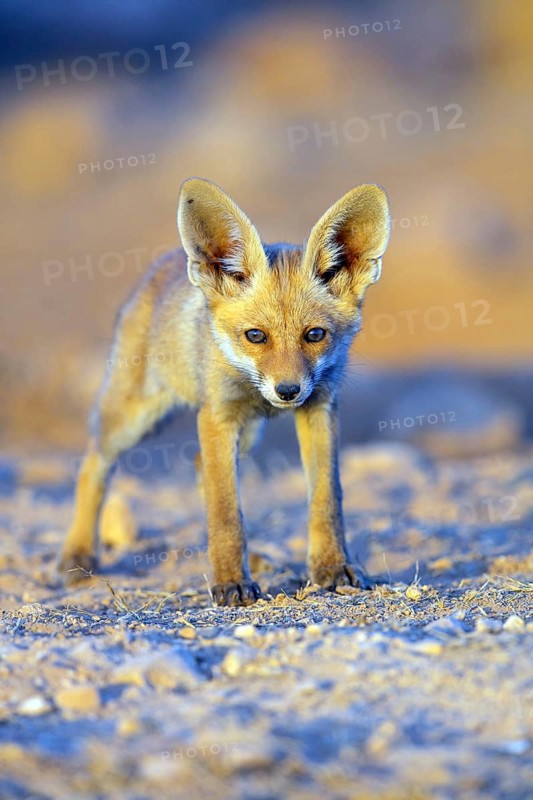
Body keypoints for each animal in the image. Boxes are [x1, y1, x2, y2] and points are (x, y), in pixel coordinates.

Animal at [59, 178, 391, 606]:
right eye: (256, 336)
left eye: (315, 335)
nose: (287, 391)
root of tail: (163, 263)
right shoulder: (218, 414)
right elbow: (225, 512)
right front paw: (231, 581)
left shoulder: (318, 406)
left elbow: (326, 499)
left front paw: (332, 568)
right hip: (131, 420)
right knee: (93, 465)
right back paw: (78, 554)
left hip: (247, 434)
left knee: (201, 467)